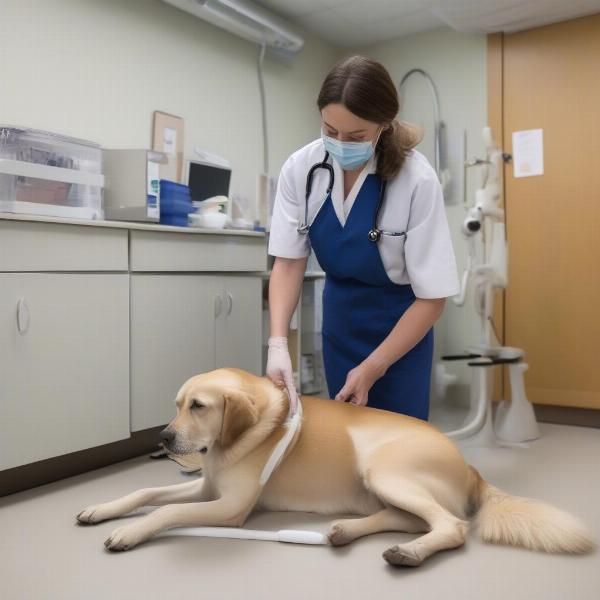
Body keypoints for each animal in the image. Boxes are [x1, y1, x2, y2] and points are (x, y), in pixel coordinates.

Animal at [76, 366, 596, 568]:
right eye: (177, 405)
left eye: (199, 406)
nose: (162, 439)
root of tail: (471, 467)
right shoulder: (207, 491)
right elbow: (145, 495)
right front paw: (103, 509)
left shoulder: (230, 508)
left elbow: (164, 513)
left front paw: (128, 532)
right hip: (383, 485)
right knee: (411, 518)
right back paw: (347, 532)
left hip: (382, 468)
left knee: (450, 525)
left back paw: (409, 554)